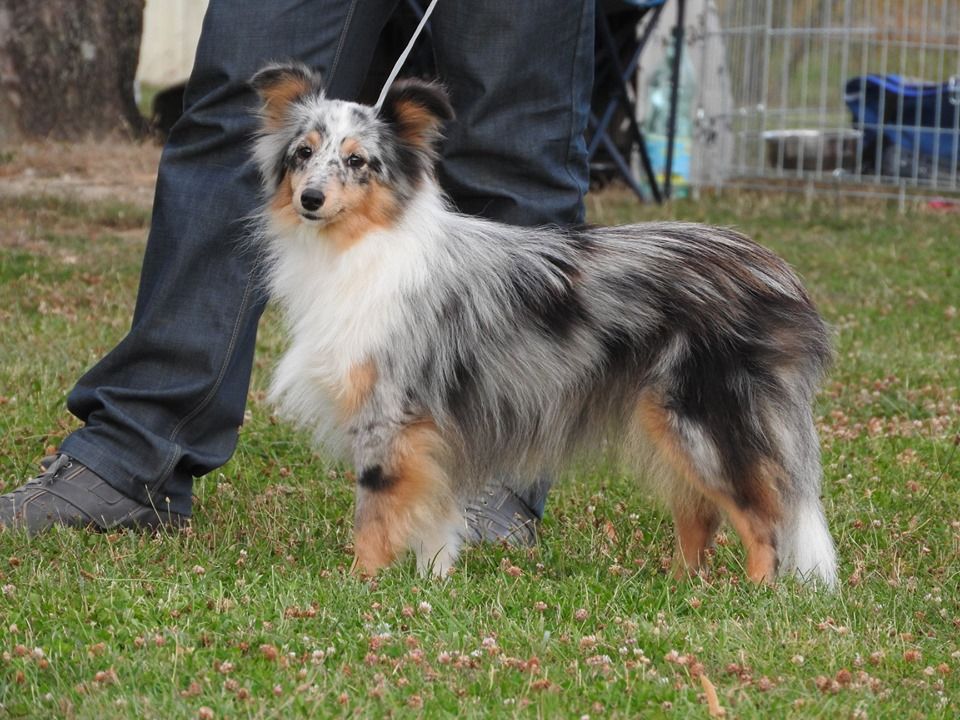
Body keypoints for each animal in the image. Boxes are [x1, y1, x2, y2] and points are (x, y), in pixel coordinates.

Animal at [251, 63, 836, 584]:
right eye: (303, 153)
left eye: (358, 161)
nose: (310, 200)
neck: (362, 244)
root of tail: (775, 270)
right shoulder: (432, 435)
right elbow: (434, 519)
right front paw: (432, 579)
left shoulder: (390, 414)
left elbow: (373, 514)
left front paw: (360, 584)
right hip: (671, 425)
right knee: (702, 514)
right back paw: (681, 590)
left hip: (704, 420)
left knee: (765, 518)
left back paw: (757, 594)